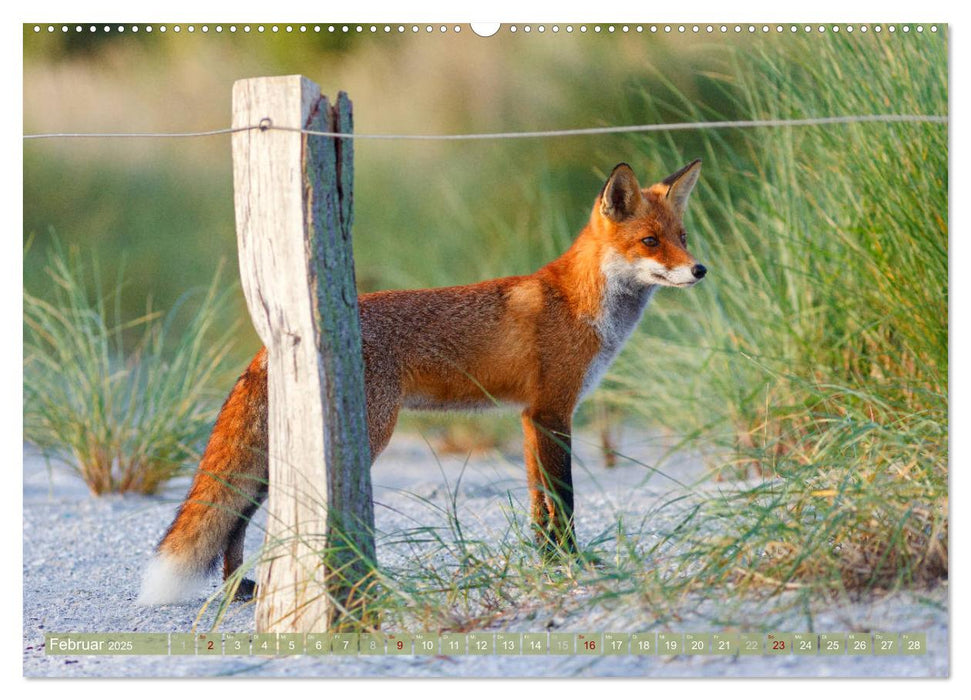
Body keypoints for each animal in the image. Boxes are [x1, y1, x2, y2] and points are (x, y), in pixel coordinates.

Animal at [139, 161, 708, 604]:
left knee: (234, 518)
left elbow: (538, 505)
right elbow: (563, 500)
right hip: (366, 433)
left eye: (682, 239)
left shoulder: (531, 416)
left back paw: (238, 588)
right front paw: (572, 561)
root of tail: (273, 341)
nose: (699, 269)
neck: (580, 303)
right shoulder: (554, 411)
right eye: (650, 242)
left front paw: (547, 561)